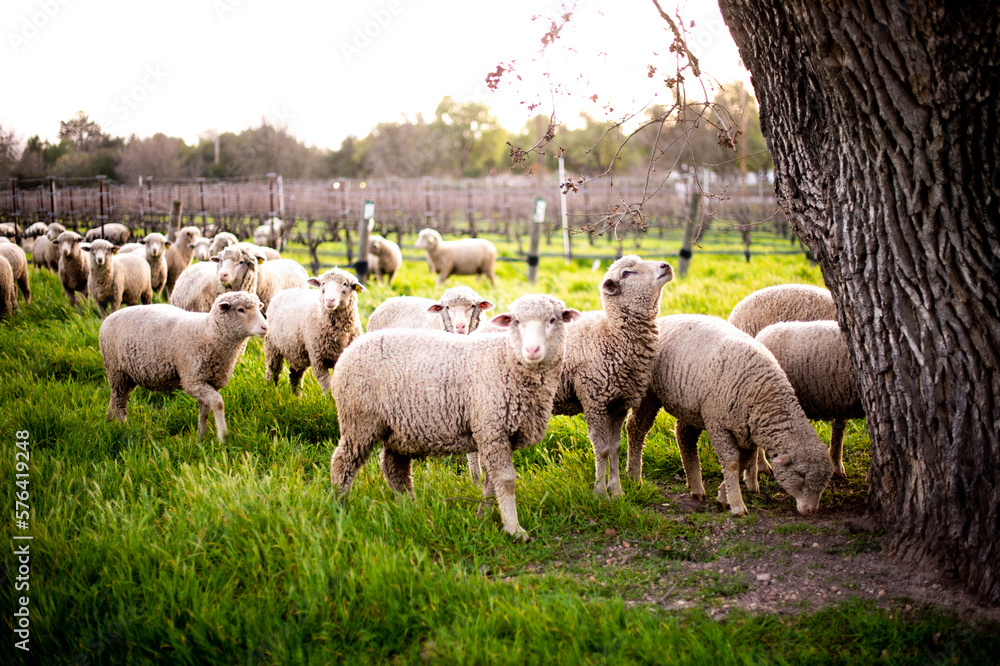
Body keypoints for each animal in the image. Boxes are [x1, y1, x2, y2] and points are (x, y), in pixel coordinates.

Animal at [99, 291, 269, 443]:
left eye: (258, 308)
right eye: (240, 310)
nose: (265, 327)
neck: (208, 334)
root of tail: (107, 319)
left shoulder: (210, 381)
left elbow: (204, 412)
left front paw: (201, 437)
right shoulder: (192, 381)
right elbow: (218, 403)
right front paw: (223, 436)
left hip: (128, 375)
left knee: (115, 396)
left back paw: (109, 420)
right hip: (116, 370)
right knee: (120, 402)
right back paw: (124, 427)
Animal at [330, 294, 581, 539]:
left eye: (553, 320)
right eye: (516, 321)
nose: (532, 350)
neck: (505, 359)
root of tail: (352, 347)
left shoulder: (495, 433)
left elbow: (491, 481)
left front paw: (483, 516)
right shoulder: (492, 429)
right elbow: (506, 480)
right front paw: (515, 529)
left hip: (397, 428)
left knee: (394, 469)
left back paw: (408, 507)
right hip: (360, 420)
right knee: (343, 461)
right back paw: (340, 506)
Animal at [624, 315, 835, 516]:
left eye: (825, 480)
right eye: (801, 475)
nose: (811, 511)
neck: (765, 395)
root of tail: (663, 319)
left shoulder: (749, 434)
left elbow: (745, 461)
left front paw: (723, 497)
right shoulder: (718, 424)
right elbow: (732, 463)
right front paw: (737, 505)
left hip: (691, 408)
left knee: (684, 437)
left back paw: (696, 486)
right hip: (650, 394)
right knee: (636, 428)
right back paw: (634, 476)